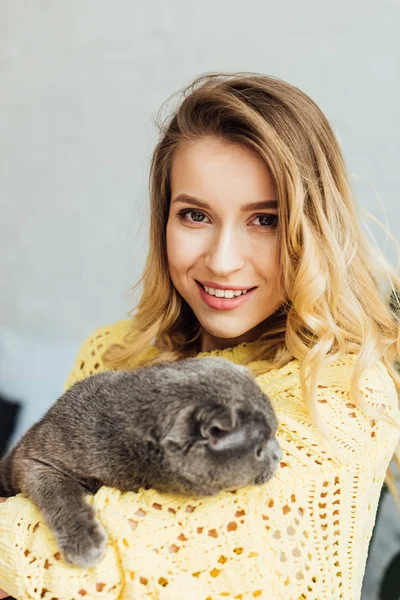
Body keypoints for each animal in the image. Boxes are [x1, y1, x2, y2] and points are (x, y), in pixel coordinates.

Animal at [0, 356, 282, 568]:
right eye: (259, 450)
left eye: (275, 432)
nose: (279, 455)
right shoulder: (35, 459)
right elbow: (61, 494)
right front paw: (85, 543)